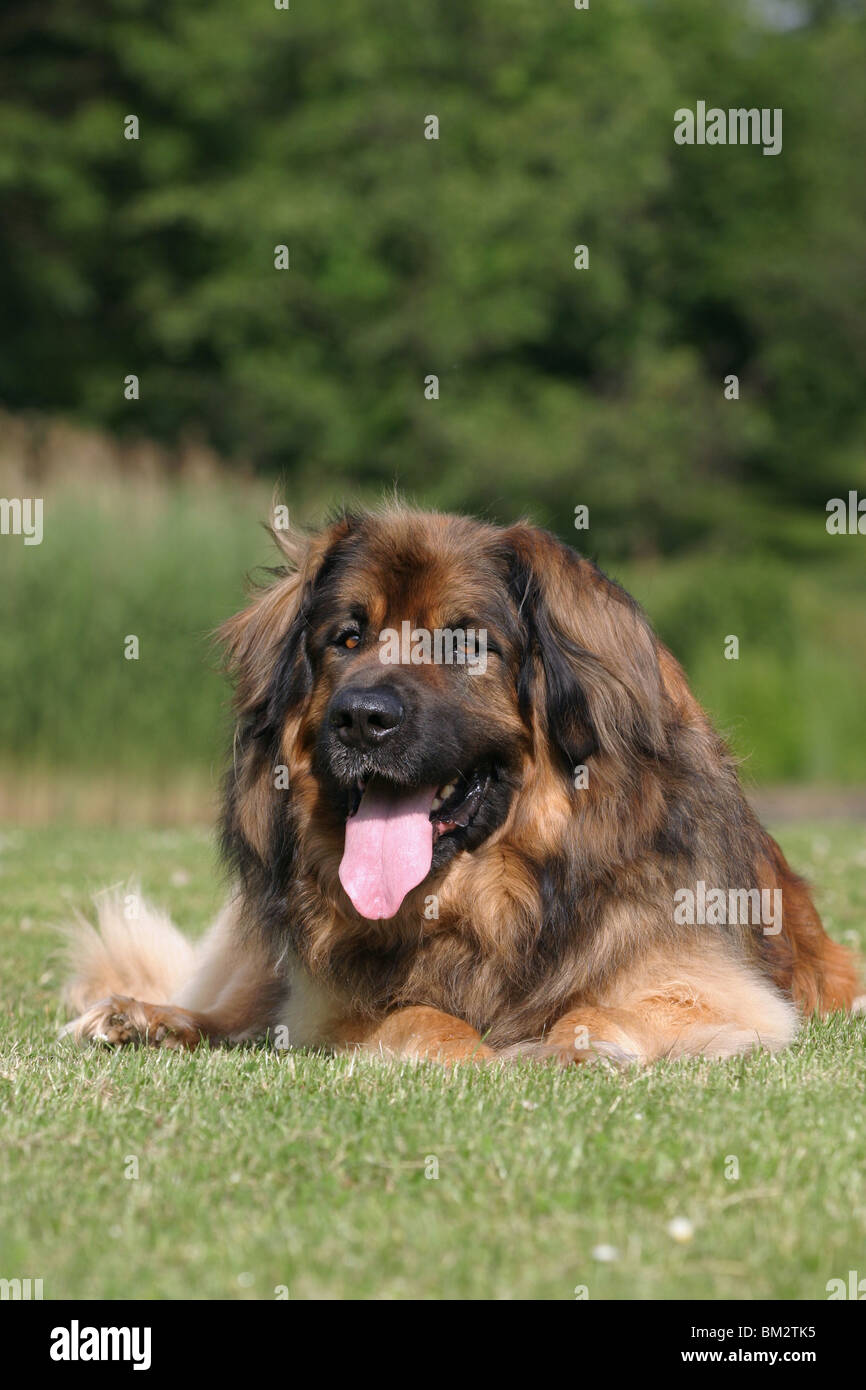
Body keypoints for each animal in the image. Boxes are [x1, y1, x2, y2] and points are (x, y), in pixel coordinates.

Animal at [61, 505, 861, 1056]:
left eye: (465, 645)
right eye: (347, 638)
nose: (361, 719)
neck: (490, 898)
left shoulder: (716, 989)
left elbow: (598, 1008)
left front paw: (578, 1046)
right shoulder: (328, 1002)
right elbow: (417, 1015)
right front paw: (468, 1051)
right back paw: (142, 1017)